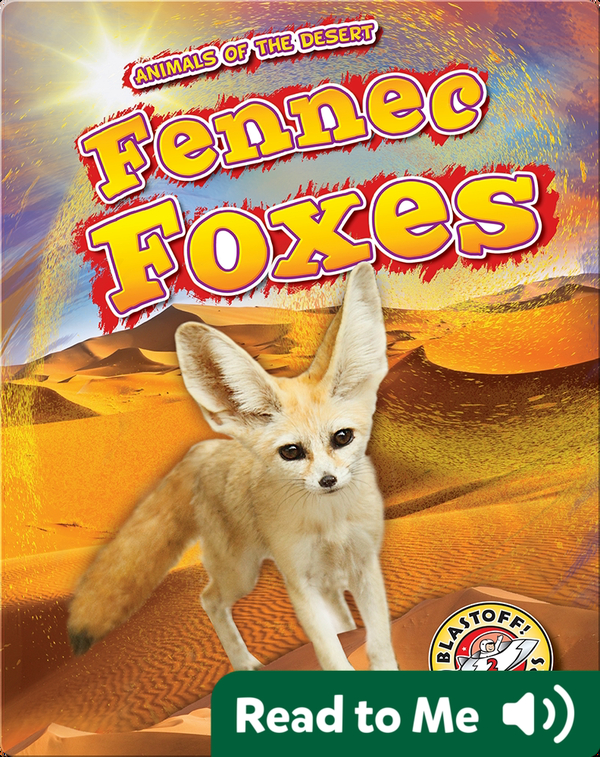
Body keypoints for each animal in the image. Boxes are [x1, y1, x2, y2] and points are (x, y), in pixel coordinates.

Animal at [67, 263, 398, 672]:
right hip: (241, 573)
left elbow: (378, 644)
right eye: (292, 452)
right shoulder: (299, 580)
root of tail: (206, 448)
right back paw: (243, 663)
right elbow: (331, 654)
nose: (328, 480)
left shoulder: (363, 567)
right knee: (209, 599)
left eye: (342, 438)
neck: (331, 523)